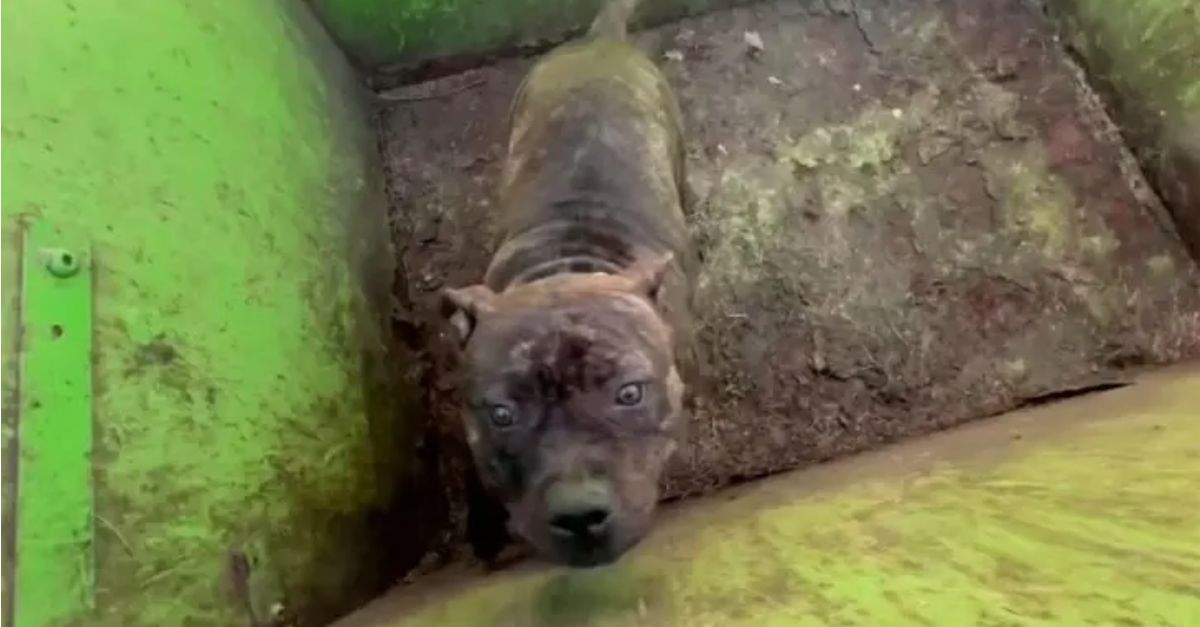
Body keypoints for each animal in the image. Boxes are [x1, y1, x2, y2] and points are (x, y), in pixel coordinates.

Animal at [441, 0, 691, 566]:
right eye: (502, 414)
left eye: (629, 393)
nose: (579, 514)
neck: (566, 265)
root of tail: (601, 42)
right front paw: (483, 531)